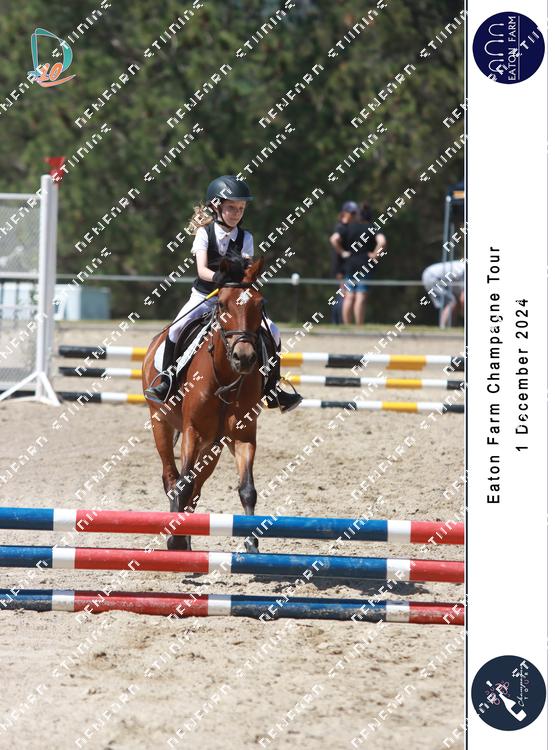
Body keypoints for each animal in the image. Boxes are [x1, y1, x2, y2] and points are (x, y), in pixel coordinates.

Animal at [142, 258, 267, 551]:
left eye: (260, 304)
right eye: (221, 303)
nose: (244, 357)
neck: (225, 377)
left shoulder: (242, 437)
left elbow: (247, 489)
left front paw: (252, 544)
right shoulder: (193, 432)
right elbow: (183, 484)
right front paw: (175, 540)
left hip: (214, 446)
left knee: (196, 489)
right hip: (160, 422)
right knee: (172, 478)